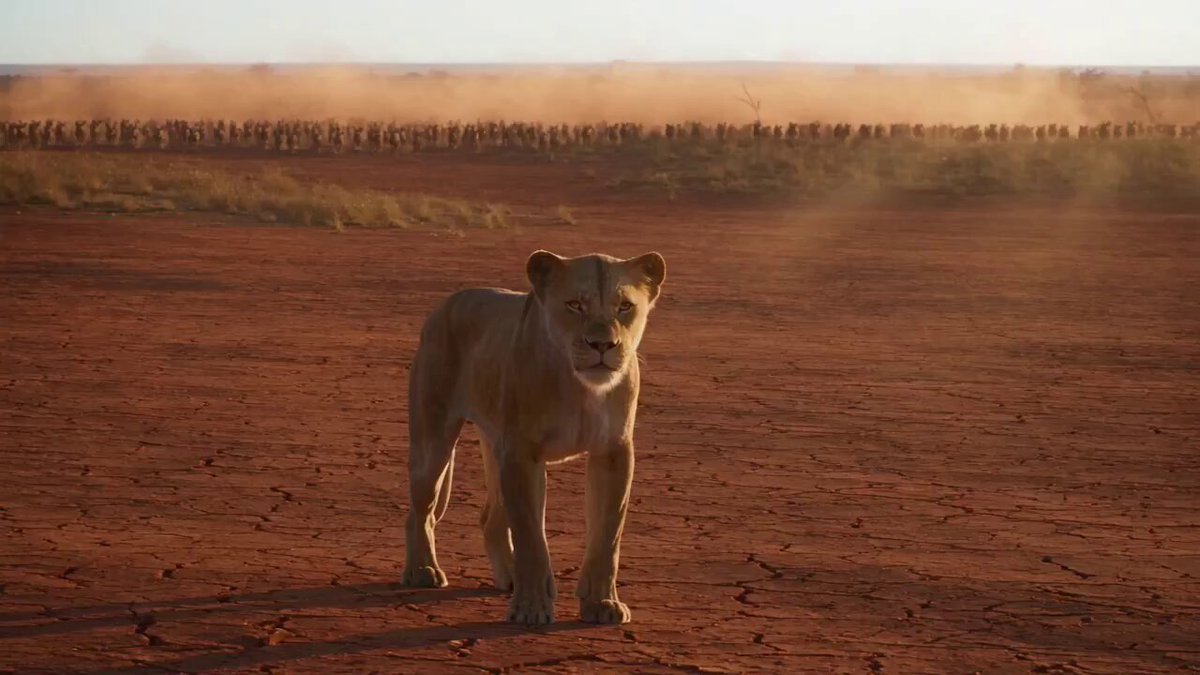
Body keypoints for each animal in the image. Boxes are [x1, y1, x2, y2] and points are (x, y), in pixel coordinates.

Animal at [401, 250, 667, 626]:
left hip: (495, 444)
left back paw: (509, 576)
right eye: (574, 305)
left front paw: (602, 603)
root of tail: (446, 304)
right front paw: (531, 607)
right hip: (434, 440)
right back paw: (423, 570)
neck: (581, 389)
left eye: (625, 307)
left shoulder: (613, 451)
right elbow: (531, 537)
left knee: (491, 518)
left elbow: (608, 535)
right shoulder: (522, 453)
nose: (602, 344)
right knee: (419, 509)